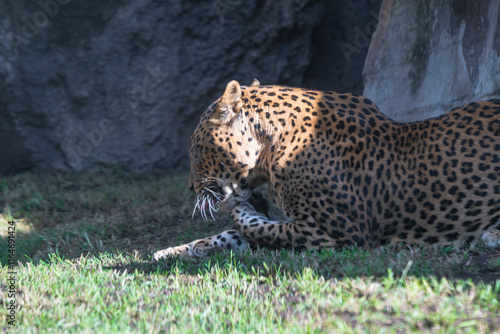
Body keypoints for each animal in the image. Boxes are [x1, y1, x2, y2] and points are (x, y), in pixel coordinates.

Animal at [152, 79, 500, 260]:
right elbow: (234, 234)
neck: (271, 146)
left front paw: (243, 208)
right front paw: (172, 251)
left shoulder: (334, 233)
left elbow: (257, 228)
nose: (190, 187)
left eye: (195, 152)